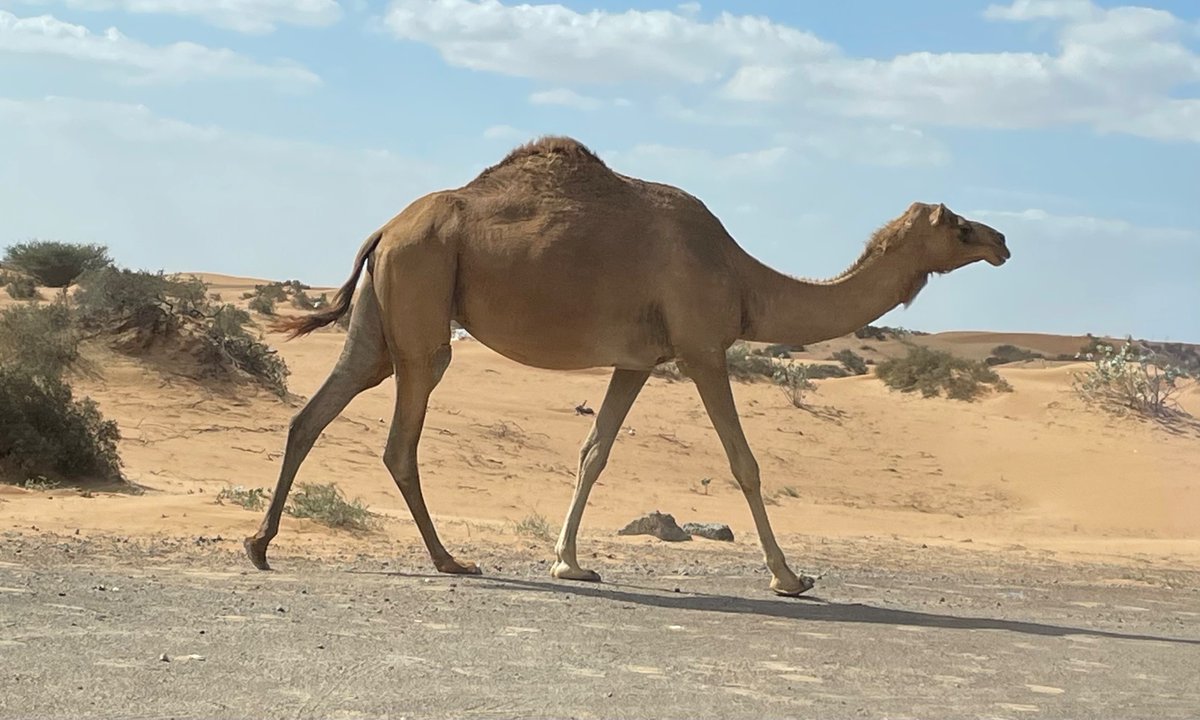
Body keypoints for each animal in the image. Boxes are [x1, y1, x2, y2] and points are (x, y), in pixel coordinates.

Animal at [244, 136, 1009, 596]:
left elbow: (594, 451)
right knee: (400, 440)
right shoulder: (703, 349)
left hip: (383, 317)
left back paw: (260, 545)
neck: (744, 280)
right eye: (959, 224)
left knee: (315, 412)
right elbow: (745, 463)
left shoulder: (637, 362)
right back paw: (450, 559)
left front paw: (569, 562)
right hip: (423, 303)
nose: (1001, 241)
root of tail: (384, 229)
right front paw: (789, 578)